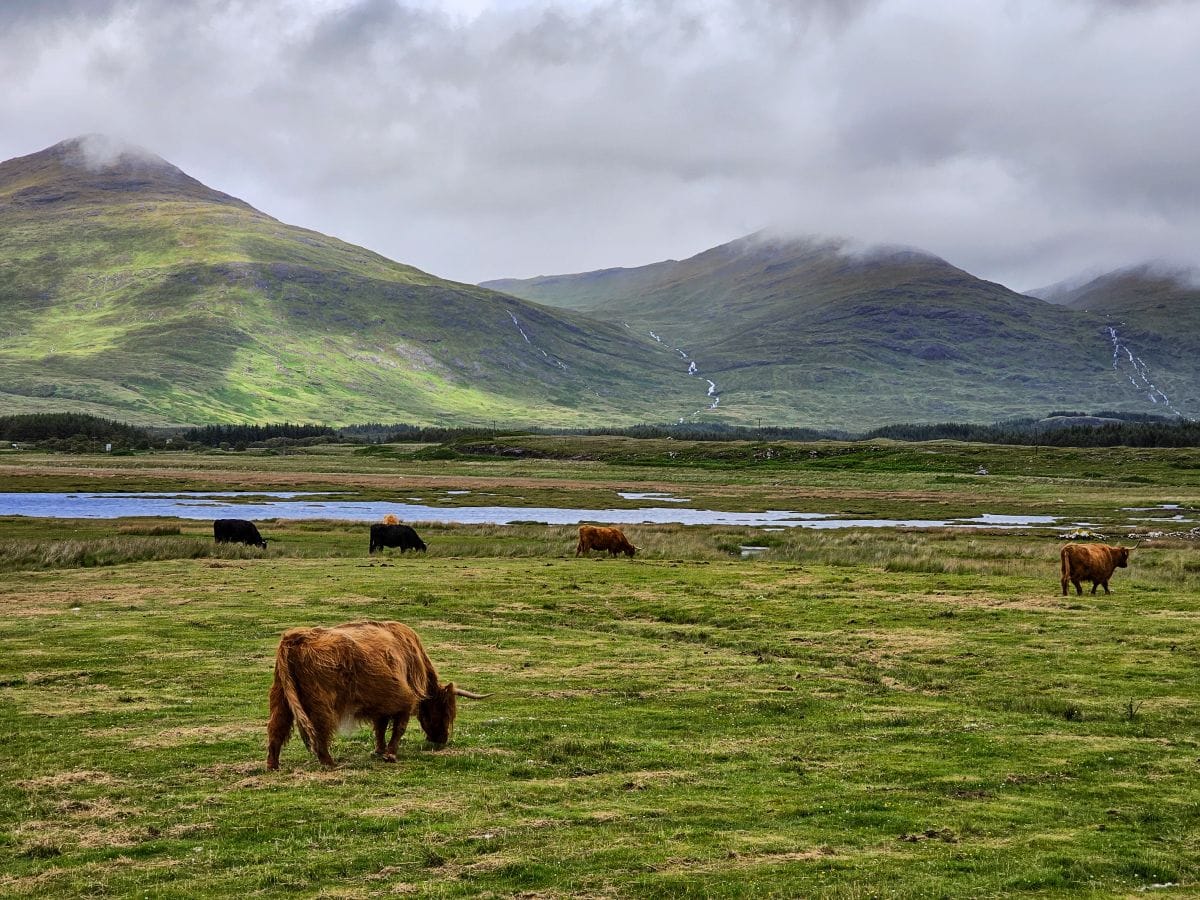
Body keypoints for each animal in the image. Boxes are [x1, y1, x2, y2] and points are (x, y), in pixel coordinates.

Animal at [266, 620, 485, 770]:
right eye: (444, 711)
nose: (441, 739)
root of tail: (293, 638)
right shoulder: (405, 701)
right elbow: (398, 728)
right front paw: (390, 755)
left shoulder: (382, 703)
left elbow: (380, 727)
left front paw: (379, 750)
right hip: (320, 701)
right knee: (319, 730)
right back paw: (329, 762)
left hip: (281, 696)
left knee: (277, 727)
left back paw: (273, 765)